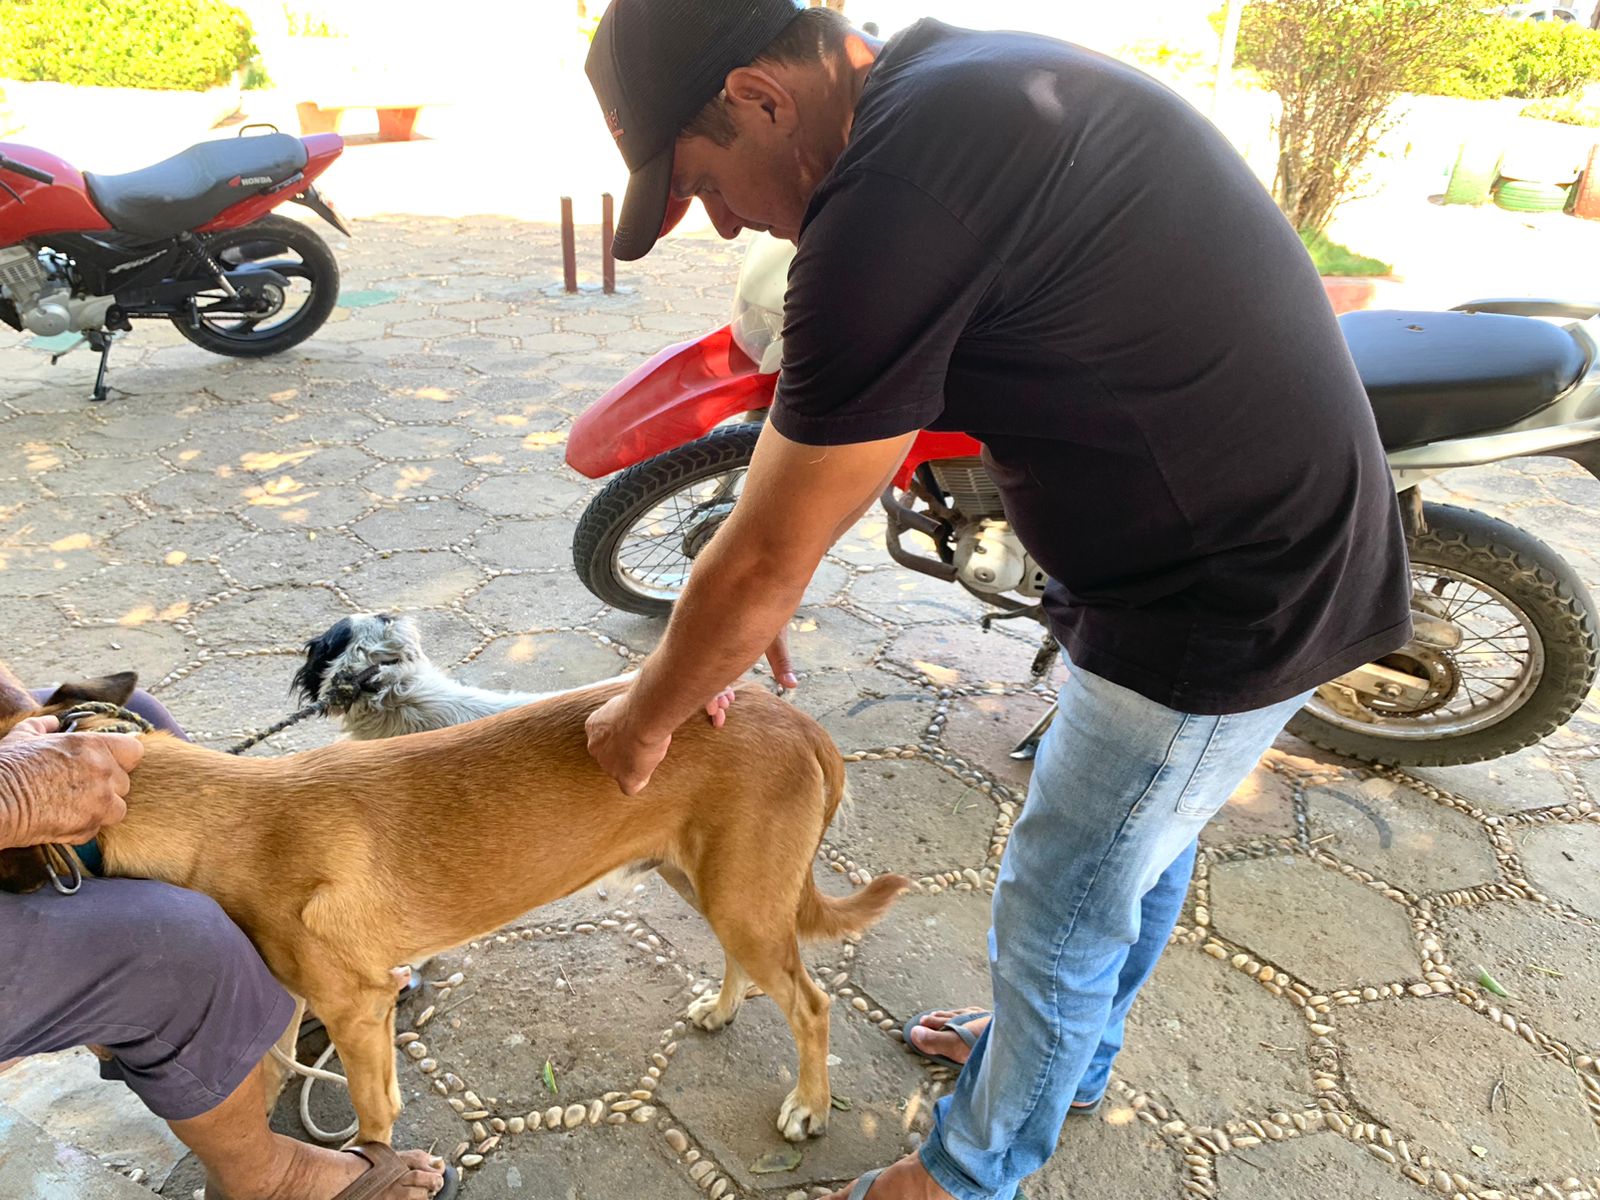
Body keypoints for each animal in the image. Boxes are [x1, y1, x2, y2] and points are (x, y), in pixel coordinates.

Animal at [0, 666, 908, 1147]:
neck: (224, 815)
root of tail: (796, 719)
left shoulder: (359, 1012)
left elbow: (373, 1120)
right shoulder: (291, 999)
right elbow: (264, 1073)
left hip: (742, 896)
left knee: (812, 1004)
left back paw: (809, 1104)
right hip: (710, 882)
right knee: (749, 964)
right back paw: (723, 1008)